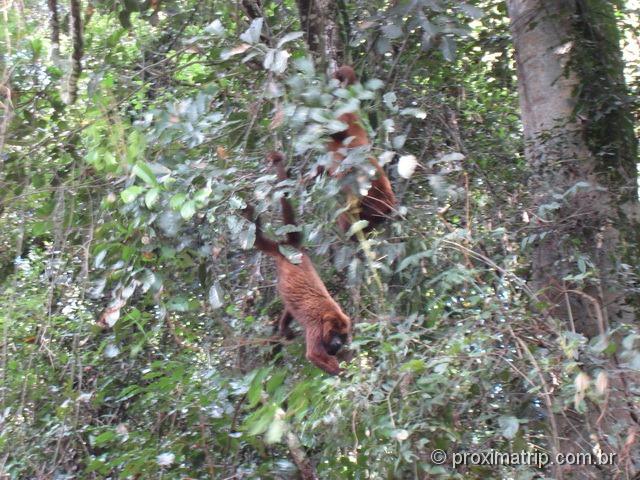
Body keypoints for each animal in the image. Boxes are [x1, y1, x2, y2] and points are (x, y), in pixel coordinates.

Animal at [245, 151, 352, 376]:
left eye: (343, 334)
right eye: (335, 334)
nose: (338, 343)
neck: (327, 316)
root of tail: (292, 250)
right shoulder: (316, 328)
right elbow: (314, 354)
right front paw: (343, 373)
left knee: (289, 307)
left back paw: (284, 327)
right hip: (277, 253)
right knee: (259, 240)